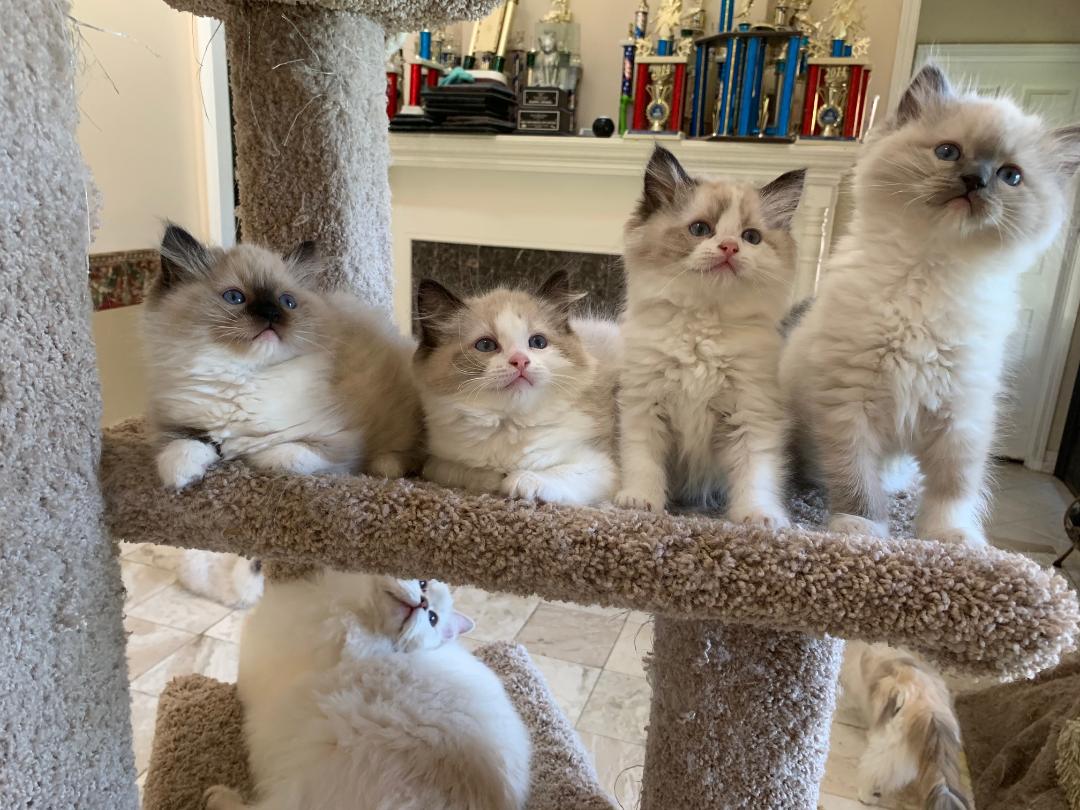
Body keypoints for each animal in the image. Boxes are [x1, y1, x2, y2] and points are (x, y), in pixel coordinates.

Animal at [144, 223, 423, 490]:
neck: (243, 375)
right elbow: (181, 445)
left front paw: (242, 453)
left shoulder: (336, 441)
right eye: (235, 297)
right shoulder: (180, 424)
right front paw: (181, 476)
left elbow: (275, 454)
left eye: (287, 302)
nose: (271, 314)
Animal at [413, 271, 620, 506]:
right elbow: (463, 471)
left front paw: (517, 481)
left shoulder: (600, 465)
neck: (510, 423)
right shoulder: (435, 462)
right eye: (486, 345)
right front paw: (492, 479)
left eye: (538, 342)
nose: (520, 361)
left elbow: (554, 473)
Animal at [614, 145, 805, 526]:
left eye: (751, 237)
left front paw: (759, 516)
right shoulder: (644, 405)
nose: (729, 247)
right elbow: (643, 461)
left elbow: (756, 472)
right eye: (701, 229)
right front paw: (640, 500)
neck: (702, 330)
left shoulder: (752, 413)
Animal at [780, 64, 1080, 545]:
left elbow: (952, 489)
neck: (932, 270)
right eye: (947, 152)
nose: (974, 181)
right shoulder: (848, 404)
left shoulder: (961, 418)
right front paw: (861, 527)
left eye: (1011, 176)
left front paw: (951, 537)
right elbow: (856, 479)